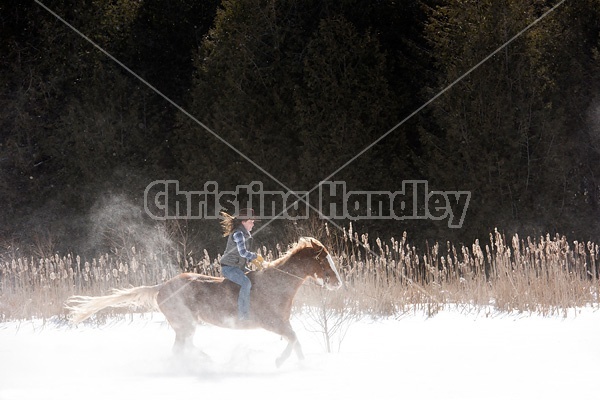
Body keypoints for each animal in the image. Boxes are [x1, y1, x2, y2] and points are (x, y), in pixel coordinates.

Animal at [65, 236, 342, 368]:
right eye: (322, 259)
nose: (337, 281)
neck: (277, 284)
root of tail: (160, 288)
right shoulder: (272, 323)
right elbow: (294, 340)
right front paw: (282, 363)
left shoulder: (283, 324)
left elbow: (296, 342)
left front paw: (297, 364)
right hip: (185, 324)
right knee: (180, 349)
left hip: (185, 326)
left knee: (183, 348)